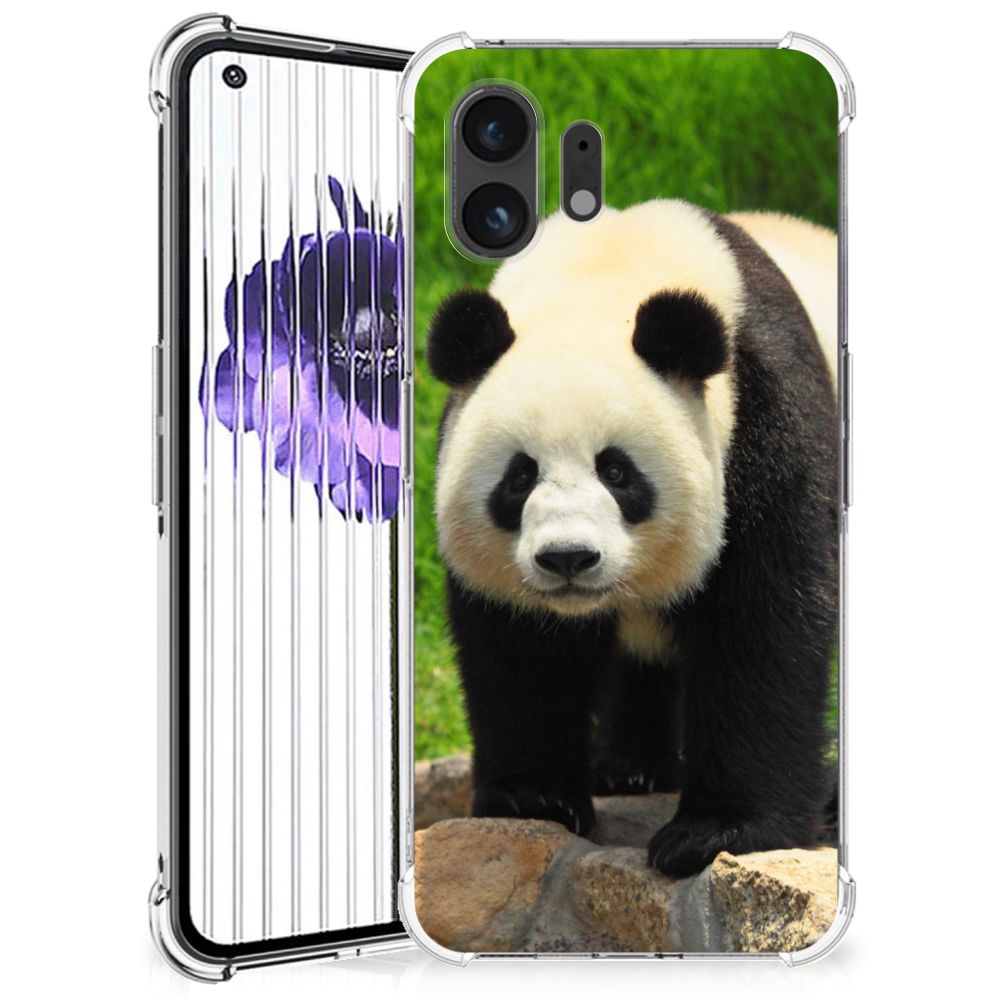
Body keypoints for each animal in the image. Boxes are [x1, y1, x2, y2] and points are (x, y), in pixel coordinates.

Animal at [425, 200, 839, 877]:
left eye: (617, 472)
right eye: (519, 476)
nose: (568, 558)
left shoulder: (766, 418)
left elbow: (763, 622)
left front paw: (715, 832)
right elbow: (523, 648)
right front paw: (535, 799)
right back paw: (630, 769)